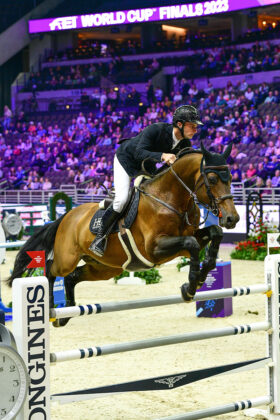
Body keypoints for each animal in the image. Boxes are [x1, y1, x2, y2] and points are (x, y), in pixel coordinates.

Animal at [7, 143, 238, 326]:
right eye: (212, 179)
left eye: (230, 178)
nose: (232, 218)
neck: (169, 199)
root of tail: (66, 216)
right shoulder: (154, 248)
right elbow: (191, 244)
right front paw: (190, 287)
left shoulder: (184, 241)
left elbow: (214, 233)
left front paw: (200, 278)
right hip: (68, 258)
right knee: (51, 270)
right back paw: (49, 309)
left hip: (104, 268)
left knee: (72, 278)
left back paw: (65, 314)